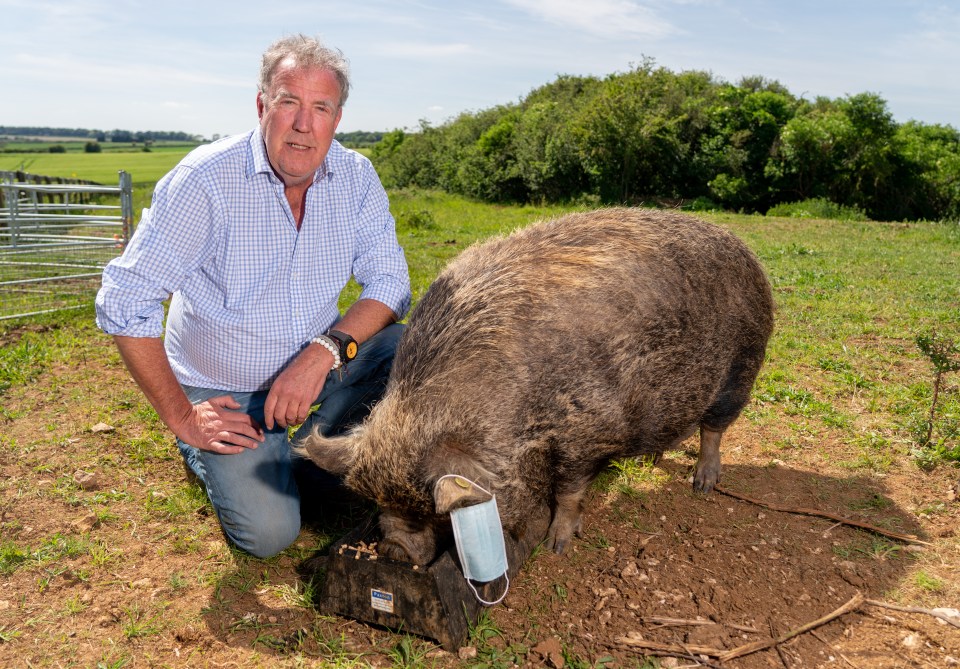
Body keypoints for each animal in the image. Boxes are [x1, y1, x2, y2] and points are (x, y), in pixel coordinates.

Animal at [300, 207, 772, 564]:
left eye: (427, 513)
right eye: (379, 504)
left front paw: (556, 546)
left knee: (714, 429)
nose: (394, 549)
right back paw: (651, 461)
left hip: (744, 364)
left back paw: (703, 484)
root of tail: (745, 250)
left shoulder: (587, 429)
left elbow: (569, 490)